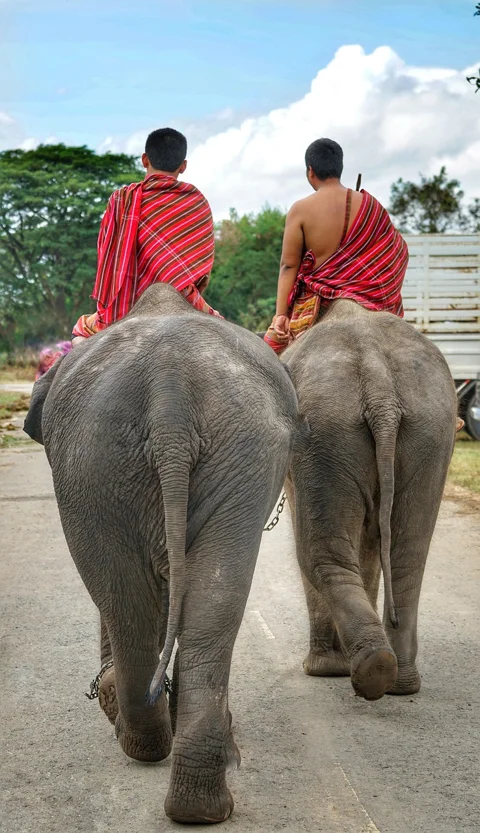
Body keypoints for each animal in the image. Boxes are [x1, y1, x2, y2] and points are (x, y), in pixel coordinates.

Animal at [24, 283, 301, 824]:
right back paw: (195, 798)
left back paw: (150, 750)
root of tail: (169, 393)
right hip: (171, 457)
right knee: (203, 604)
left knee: (127, 599)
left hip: (105, 464)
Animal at [283, 299, 457, 701]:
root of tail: (380, 388)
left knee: (317, 552)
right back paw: (397, 680)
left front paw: (326, 670)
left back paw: (362, 671)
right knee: (408, 555)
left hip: (325, 431)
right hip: (429, 427)